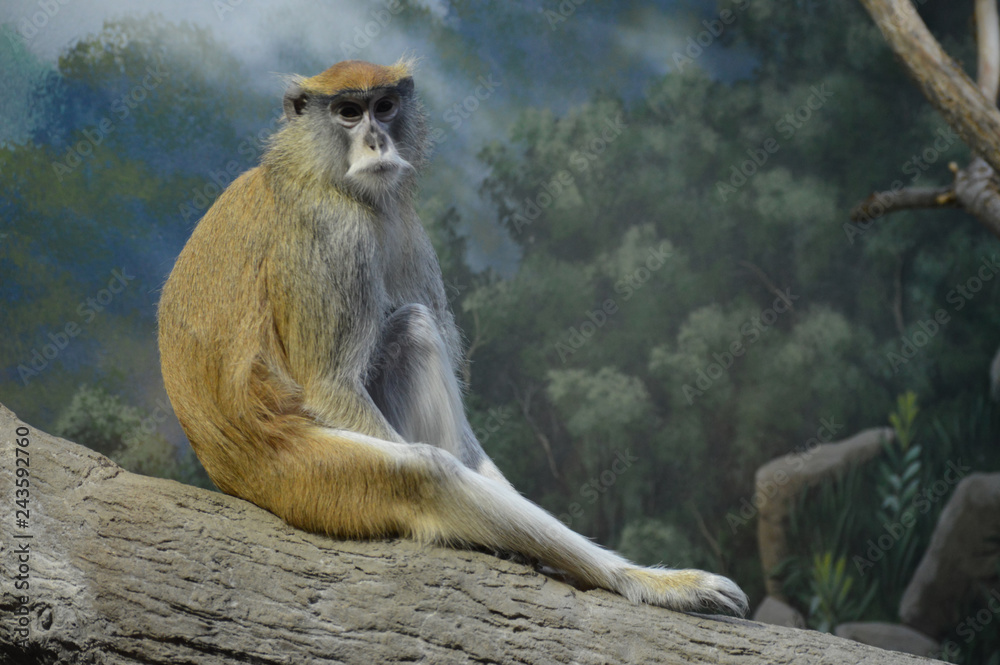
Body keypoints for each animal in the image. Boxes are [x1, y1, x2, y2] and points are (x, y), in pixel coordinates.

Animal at [157, 59, 748, 616]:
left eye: (386, 106)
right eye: (348, 112)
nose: (378, 140)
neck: (315, 169)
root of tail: (233, 477)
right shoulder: (333, 235)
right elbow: (332, 388)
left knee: (415, 330)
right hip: (307, 481)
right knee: (423, 474)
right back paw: (640, 580)